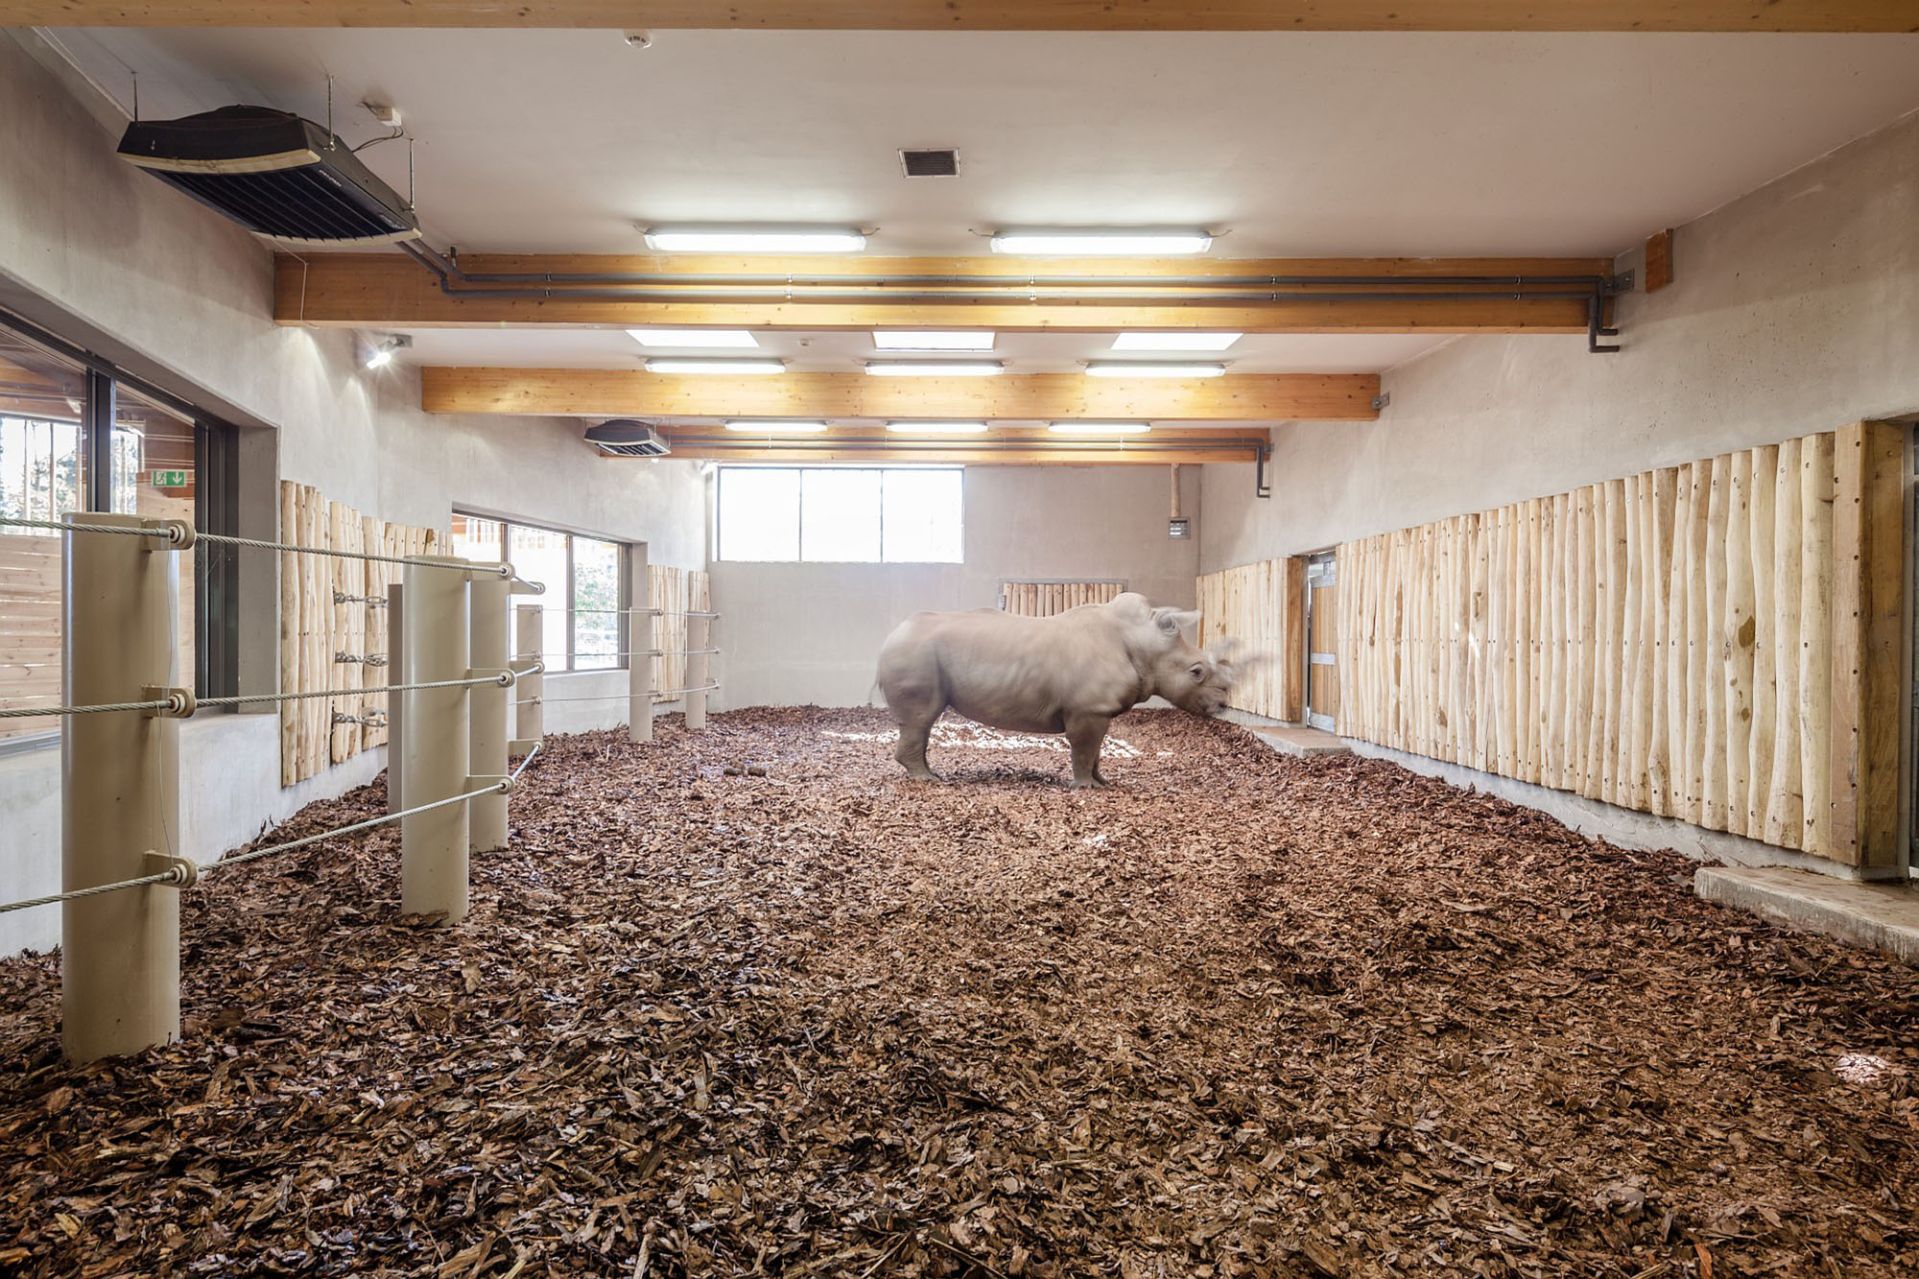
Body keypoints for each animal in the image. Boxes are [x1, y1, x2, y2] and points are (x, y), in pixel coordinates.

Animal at [875, 592, 1237, 788]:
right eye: (1197, 672)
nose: (1223, 703)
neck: (1143, 642)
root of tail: (891, 635)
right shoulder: (1088, 708)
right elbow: (1084, 749)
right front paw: (1085, 787)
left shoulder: (1096, 710)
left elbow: (1096, 750)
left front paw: (1103, 783)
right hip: (915, 653)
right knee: (922, 717)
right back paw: (927, 780)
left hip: (918, 653)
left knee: (921, 722)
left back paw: (930, 773)